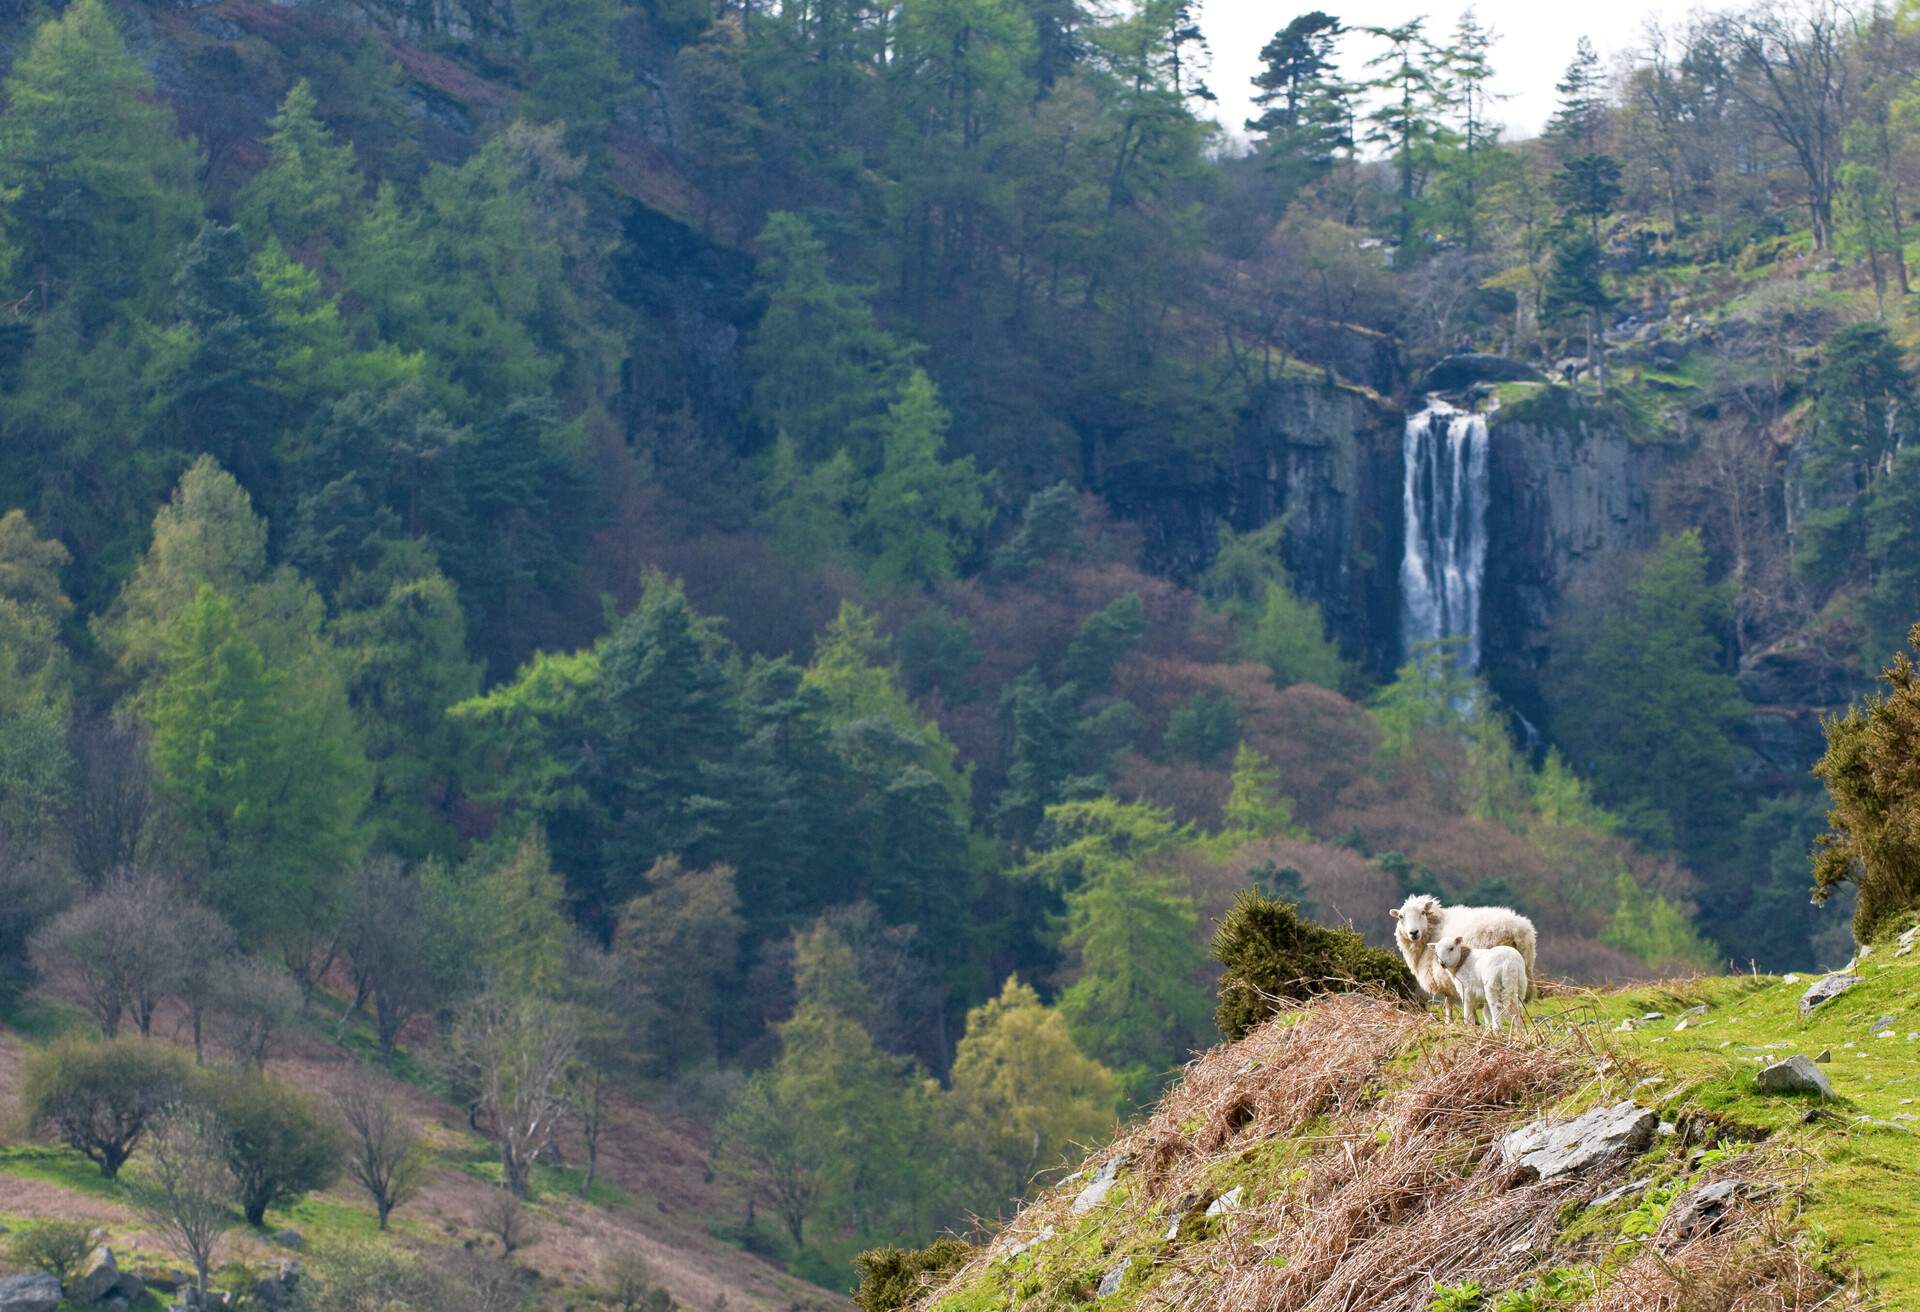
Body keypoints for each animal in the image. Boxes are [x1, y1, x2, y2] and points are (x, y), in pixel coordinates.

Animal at [1390, 898, 1536, 1021]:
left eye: (1422, 912)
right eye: (1401, 916)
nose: (1413, 933)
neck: (1434, 928)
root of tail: (1516, 929)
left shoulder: (1445, 978)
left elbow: (1448, 1002)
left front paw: (1450, 1021)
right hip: (1524, 970)